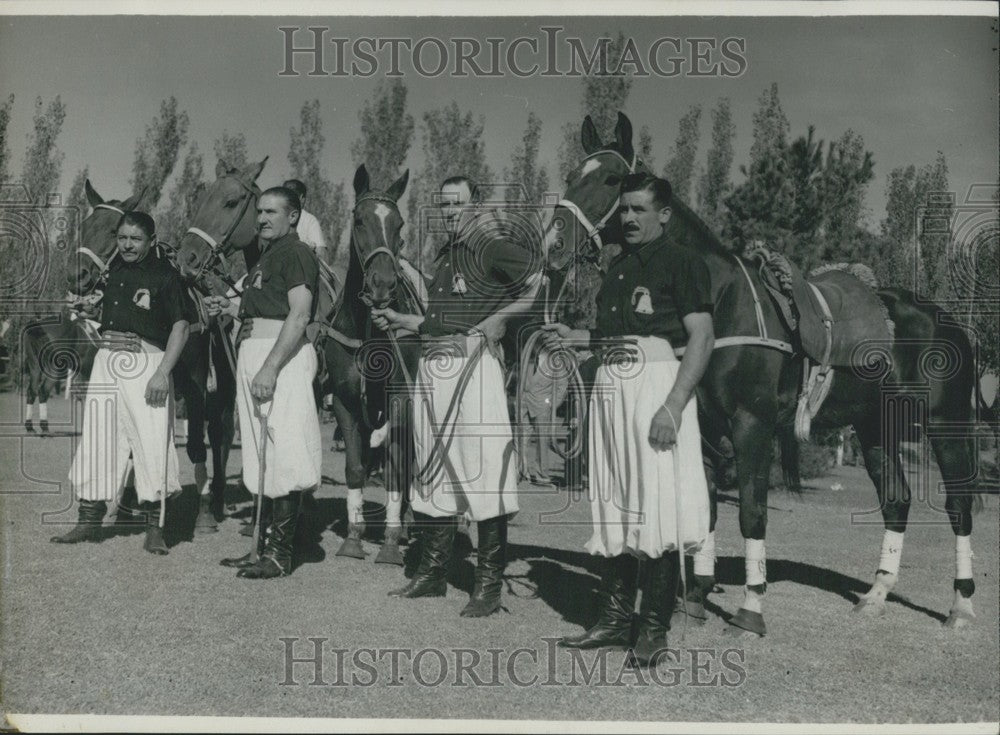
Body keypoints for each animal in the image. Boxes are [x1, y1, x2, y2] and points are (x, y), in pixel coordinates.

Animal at [544, 112, 988, 636]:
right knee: (896, 501)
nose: (553, 244)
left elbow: (752, 514)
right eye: (573, 173)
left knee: (959, 505)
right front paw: (695, 597)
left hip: (946, 423)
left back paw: (960, 605)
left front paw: (750, 606)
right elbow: (707, 509)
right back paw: (876, 595)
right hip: (874, 425)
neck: (720, 303)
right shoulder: (703, 427)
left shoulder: (750, 424)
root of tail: (948, 321)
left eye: (613, 180)